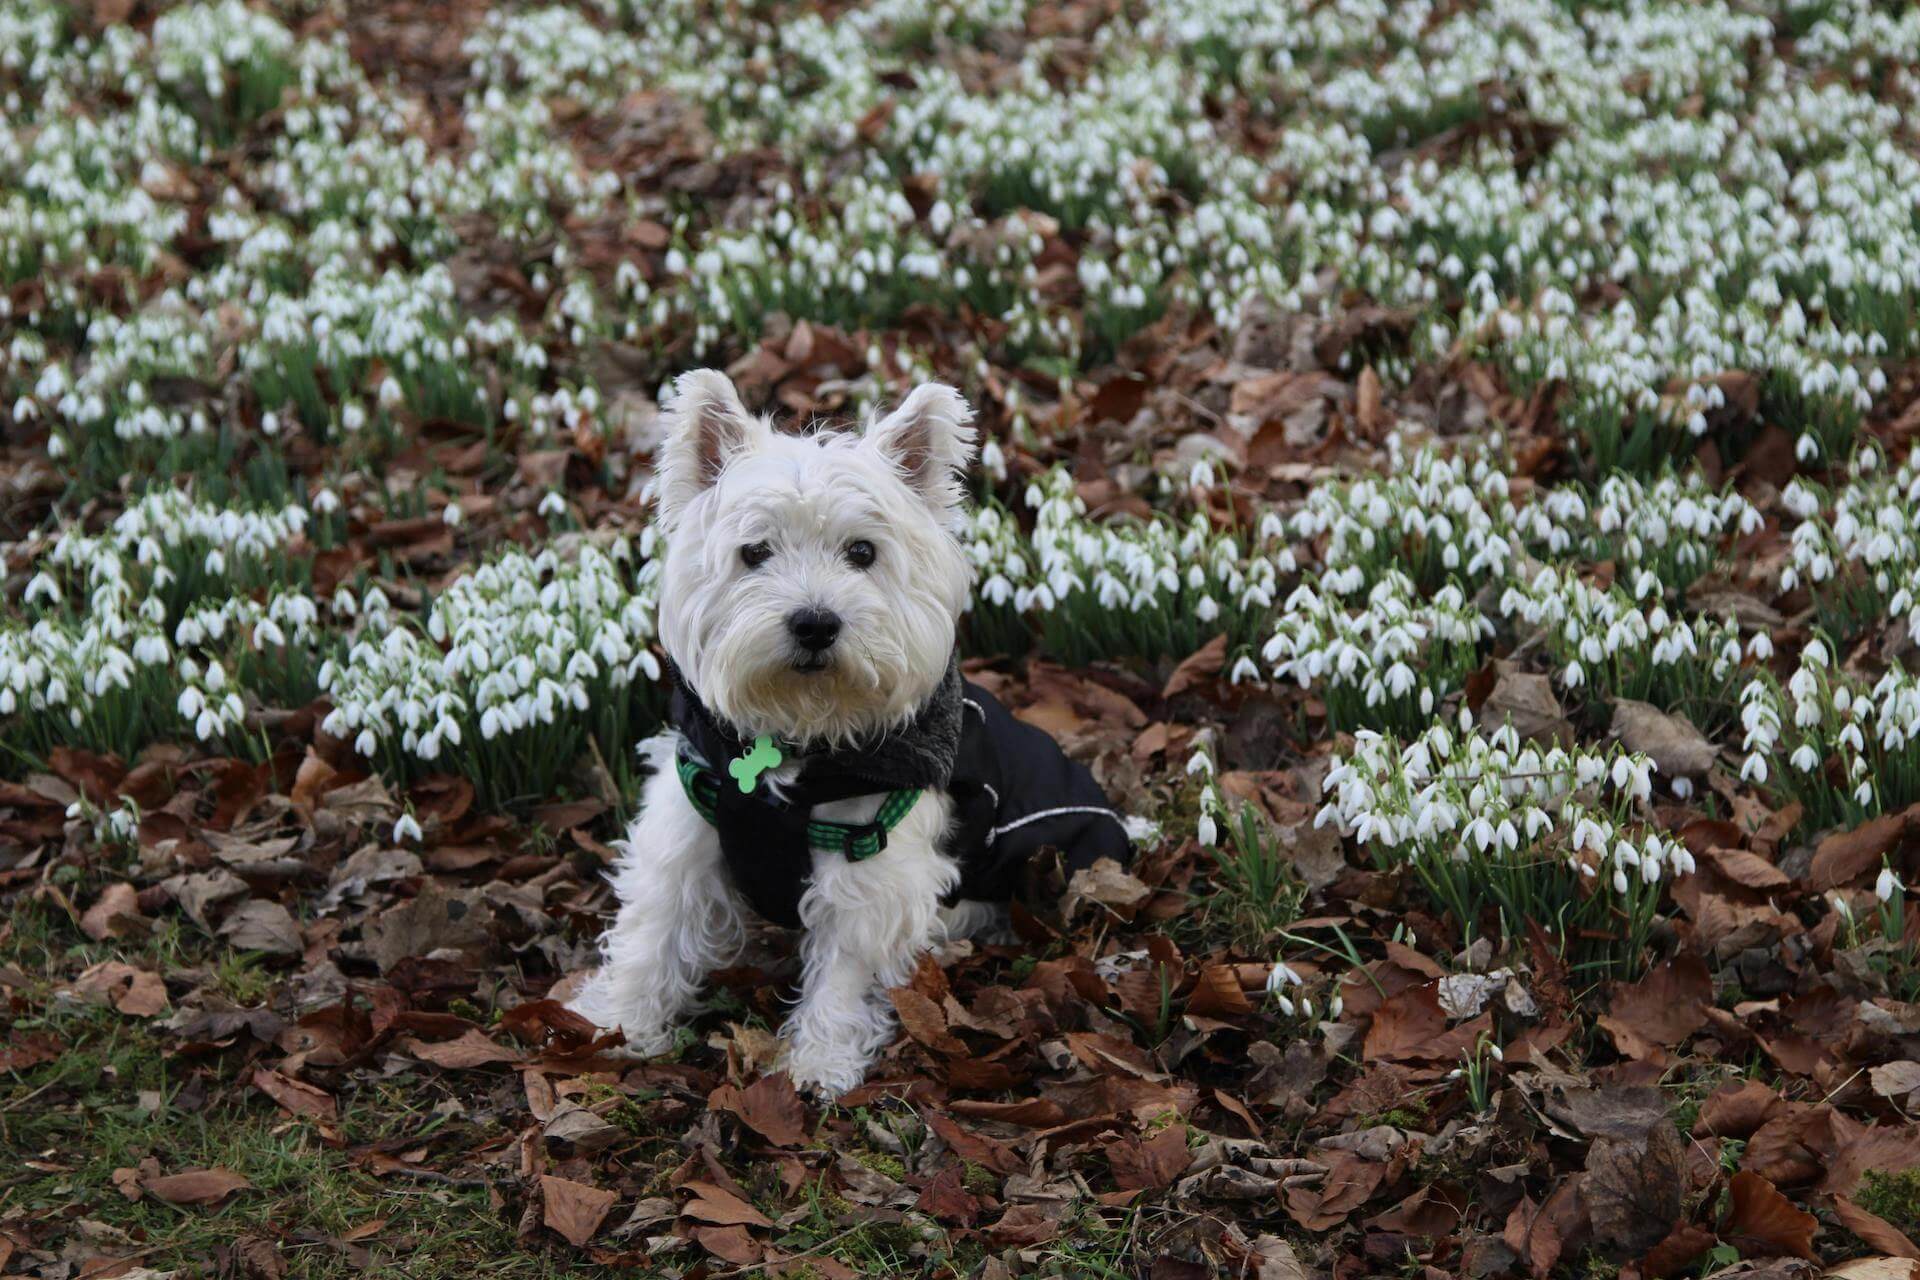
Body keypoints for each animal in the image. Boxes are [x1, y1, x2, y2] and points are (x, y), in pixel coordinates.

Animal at [564, 368, 1121, 1090]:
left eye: (863, 552)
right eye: (754, 551)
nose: (815, 623)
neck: (795, 740)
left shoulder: (871, 868)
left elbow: (845, 973)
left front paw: (820, 1063)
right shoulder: (688, 827)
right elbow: (652, 934)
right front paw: (616, 1024)